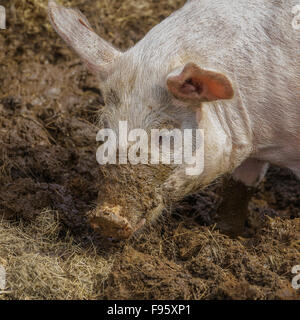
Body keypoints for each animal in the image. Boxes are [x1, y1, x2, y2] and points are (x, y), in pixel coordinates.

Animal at [48, 0, 300, 239]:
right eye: (106, 127)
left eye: (164, 136)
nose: (106, 217)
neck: (265, 142)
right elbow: (237, 189)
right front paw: (227, 233)